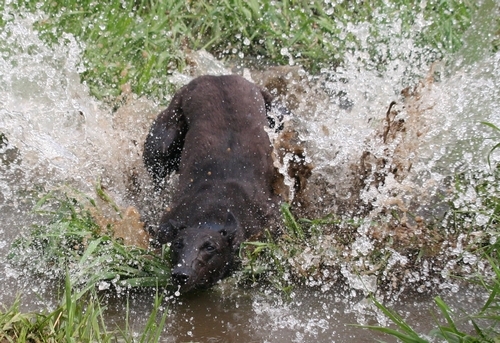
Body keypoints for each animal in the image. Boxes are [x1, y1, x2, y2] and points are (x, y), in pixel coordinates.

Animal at [144, 74, 282, 292]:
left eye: (210, 247)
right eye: (178, 244)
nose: (181, 274)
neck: (213, 207)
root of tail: (219, 77)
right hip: (163, 143)